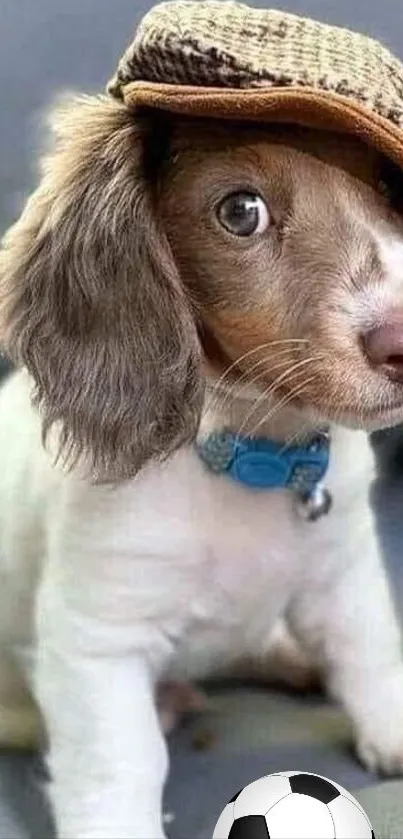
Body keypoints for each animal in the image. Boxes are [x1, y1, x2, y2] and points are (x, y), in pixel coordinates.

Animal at [0, 98, 403, 839]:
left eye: (390, 187)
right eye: (241, 211)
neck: (249, 454)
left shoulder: (344, 569)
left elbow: (368, 651)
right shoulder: (97, 643)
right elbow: (119, 765)